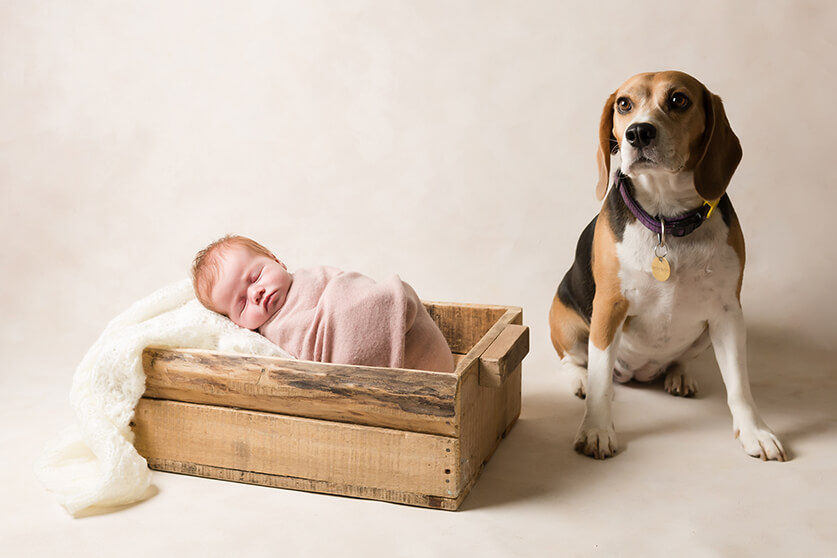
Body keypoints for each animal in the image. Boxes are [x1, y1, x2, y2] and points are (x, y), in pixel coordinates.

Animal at [544, 71, 788, 464]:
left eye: (678, 100)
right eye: (623, 104)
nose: (638, 132)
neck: (665, 218)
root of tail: (638, 373)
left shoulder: (728, 313)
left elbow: (739, 384)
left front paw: (755, 432)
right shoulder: (609, 307)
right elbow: (599, 382)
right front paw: (596, 430)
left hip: (705, 334)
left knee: (679, 360)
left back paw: (679, 374)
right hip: (565, 319)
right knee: (575, 361)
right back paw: (579, 379)